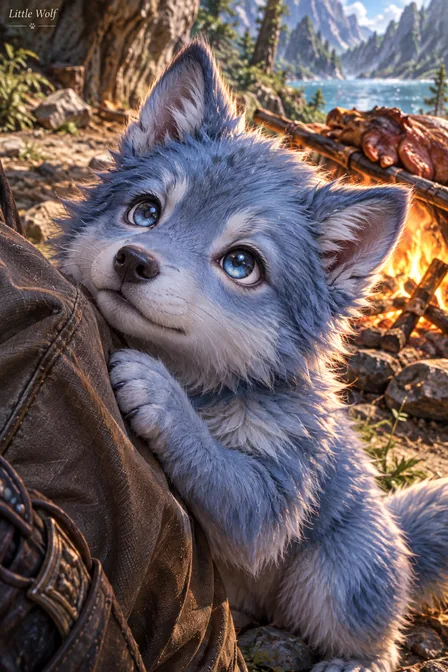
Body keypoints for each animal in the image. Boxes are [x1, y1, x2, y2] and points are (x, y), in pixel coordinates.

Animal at [57, 41, 448, 672]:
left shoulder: (275, 498)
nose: (133, 260)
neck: (208, 388)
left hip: (336, 573)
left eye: (242, 264)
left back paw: (354, 659)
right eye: (144, 211)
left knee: (379, 639)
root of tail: (398, 534)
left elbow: (225, 479)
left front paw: (159, 395)